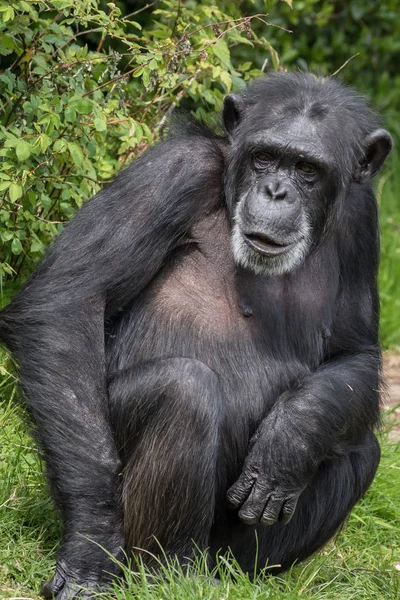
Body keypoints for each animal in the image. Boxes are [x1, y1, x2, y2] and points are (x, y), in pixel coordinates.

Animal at [0, 72, 394, 596]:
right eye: (264, 157)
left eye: (307, 169)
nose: (276, 191)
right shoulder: (174, 171)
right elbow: (69, 300)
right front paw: (89, 542)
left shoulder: (360, 219)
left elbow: (355, 352)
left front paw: (292, 437)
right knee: (183, 391)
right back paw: (167, 570)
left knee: (363, 447)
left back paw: (236, 574)